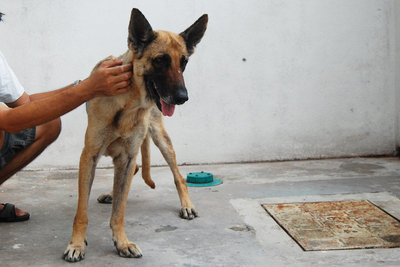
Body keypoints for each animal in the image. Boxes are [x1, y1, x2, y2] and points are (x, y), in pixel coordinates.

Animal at [63, 7, 208, 262]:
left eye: (184, 62)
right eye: (160, 60)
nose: (182, 98)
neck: (129, 104)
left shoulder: (127, 157)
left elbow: (119, 212)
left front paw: (121, 242)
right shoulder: (89, 157)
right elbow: (82, 211)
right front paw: (77, 244)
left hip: (161, 140)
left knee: (177, 176)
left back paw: (186, 205)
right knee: (136, 171)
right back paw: (112, 194)